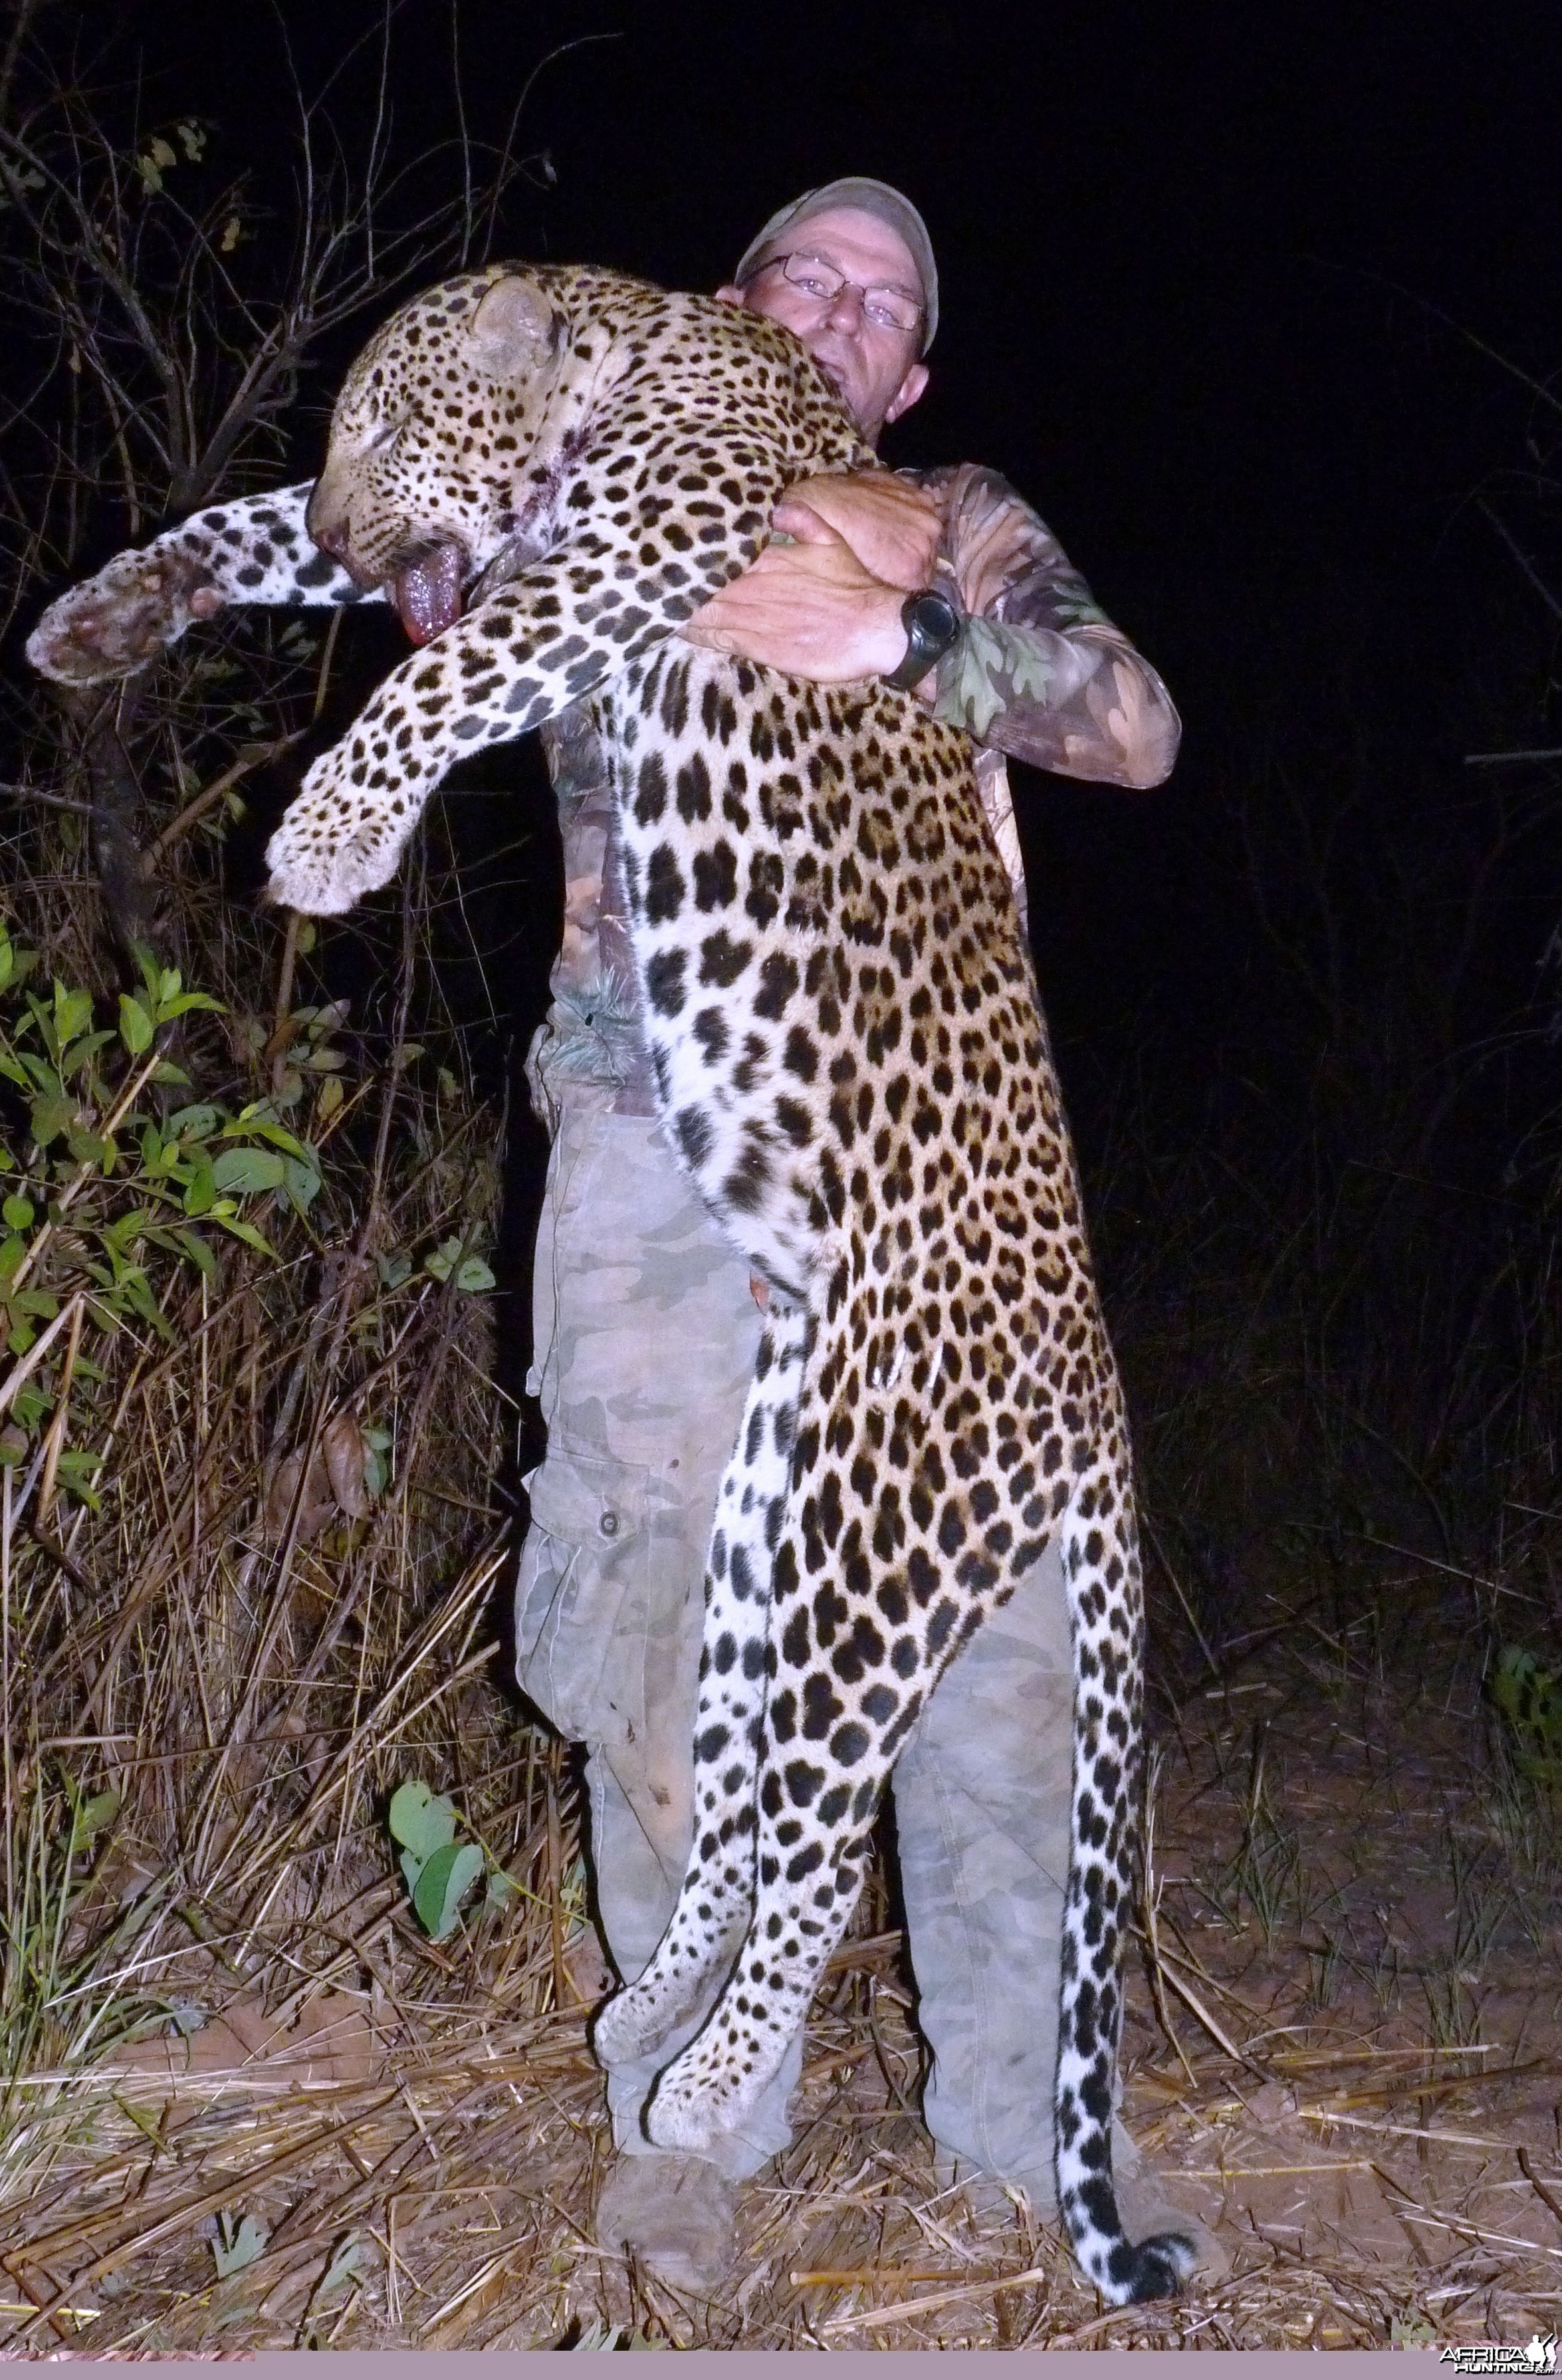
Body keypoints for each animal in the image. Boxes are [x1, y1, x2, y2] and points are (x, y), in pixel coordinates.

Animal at [27, 261, 1195, 2304]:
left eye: (382, 414)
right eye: (333, 433)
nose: (361, 533)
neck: (643, 348)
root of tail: (1089, 1395)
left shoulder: (631, 552)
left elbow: (445, 665)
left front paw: (329, 832)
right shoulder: (511, 539)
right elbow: (249, 537)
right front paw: (104, 617)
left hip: (872, 1558)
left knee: (826, 1840)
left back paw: (701, 2084)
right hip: (761, 1536)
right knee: (727, 1804)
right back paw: (647, 2012)